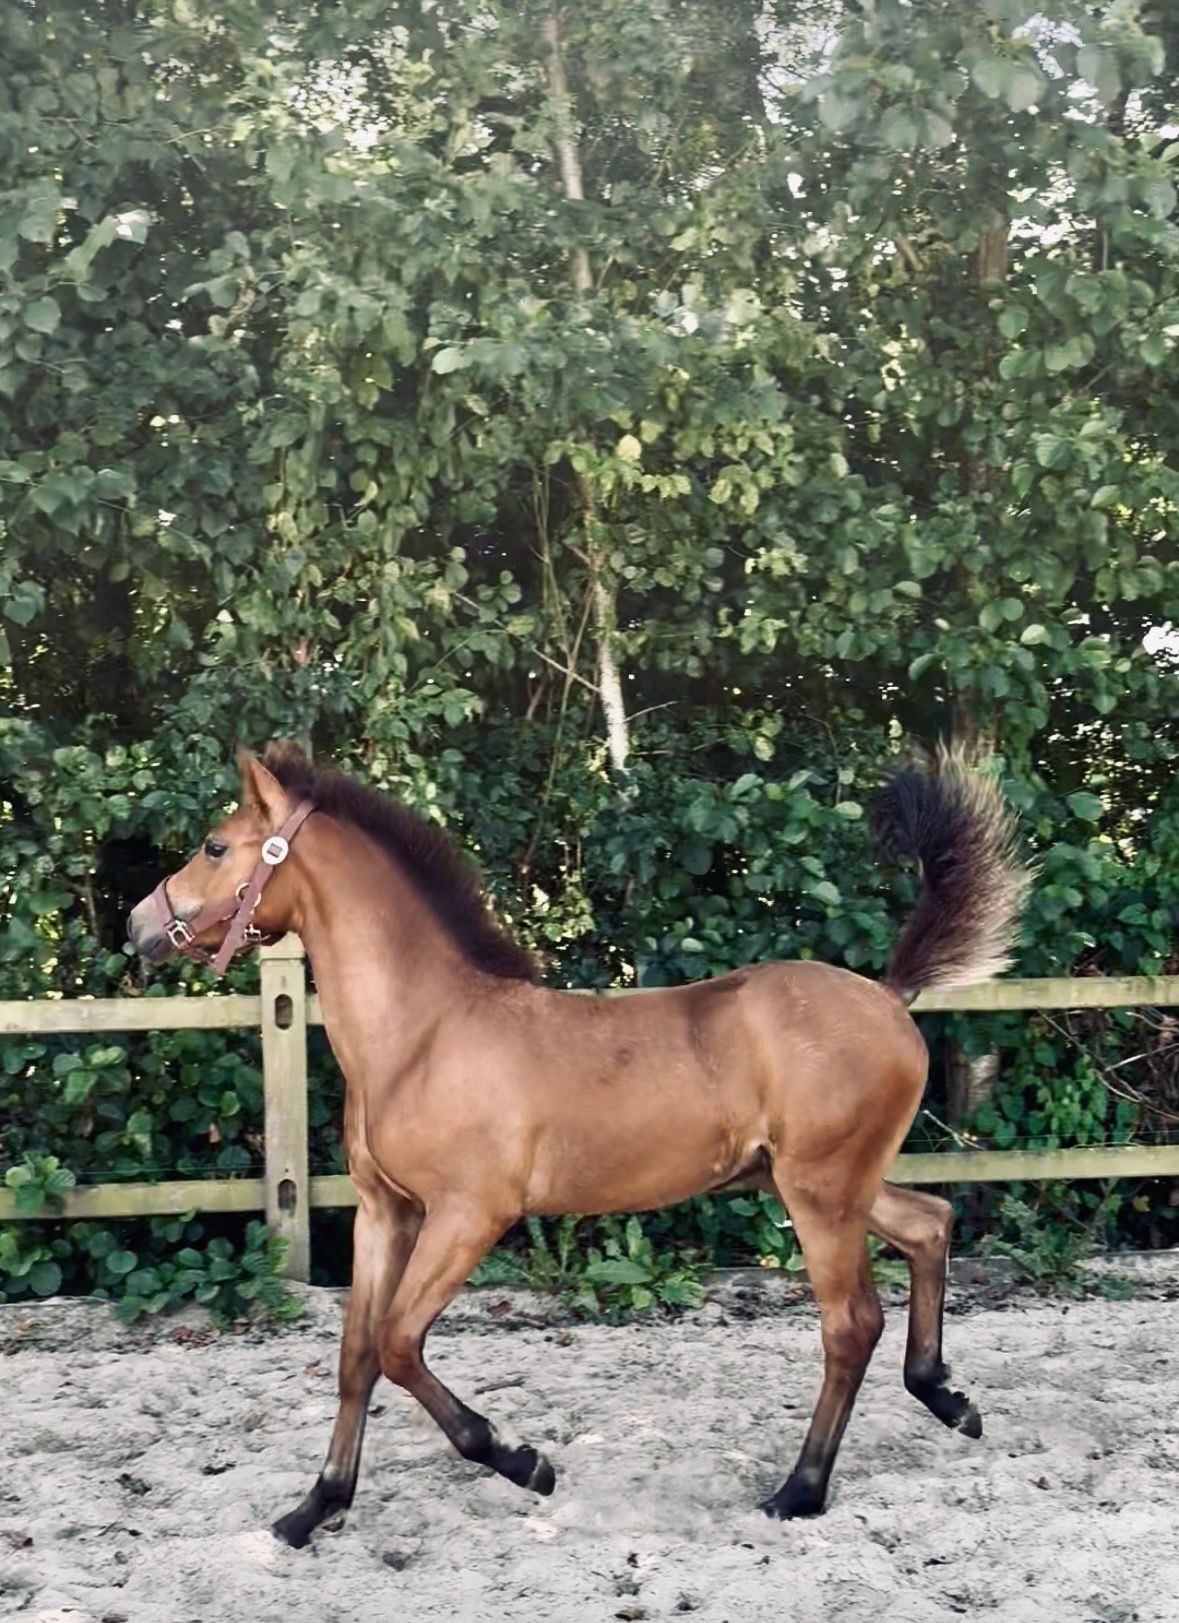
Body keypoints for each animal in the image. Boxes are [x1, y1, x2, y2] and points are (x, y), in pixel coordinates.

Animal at [128, 740, 1029, 1548]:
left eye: (214, 845)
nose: (138, 924)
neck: (423, 1032)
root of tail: (887, 995)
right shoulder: (384, 1212)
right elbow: (355, 1355)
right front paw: (314, 1508)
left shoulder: (468, 1214)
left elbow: (397, 1345)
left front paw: (523, 1460)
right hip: (810, 1182)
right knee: (928, 1223)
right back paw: (948, 1400)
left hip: (820, 1191)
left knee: (849, 1322)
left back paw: (799, 1491)